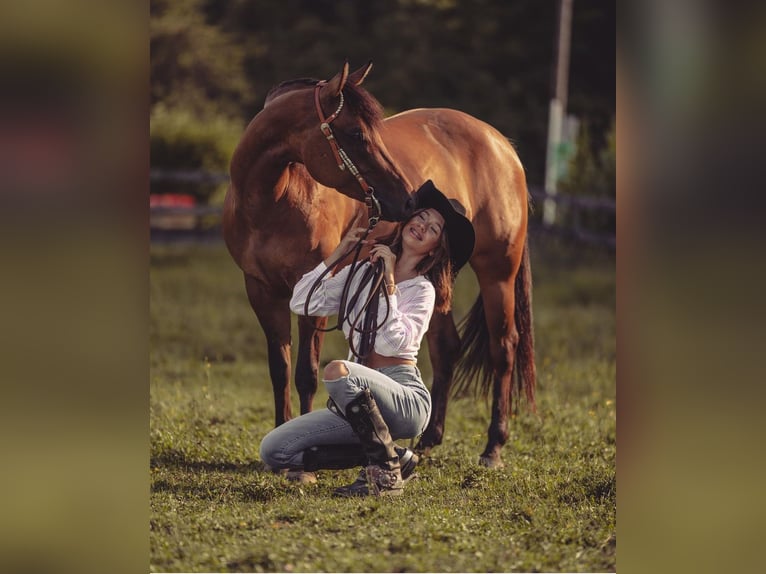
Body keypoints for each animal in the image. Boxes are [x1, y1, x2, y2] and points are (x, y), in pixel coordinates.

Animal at [225, 62, 536, 468]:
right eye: (356, 133)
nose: (409, 201)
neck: (276, 198)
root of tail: (502, 145)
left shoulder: (312, 294)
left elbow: (306, 373)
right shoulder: (261, 289)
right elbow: (280, 369)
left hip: (498, 271)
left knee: (504, 347)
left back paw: (493, 447)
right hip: (441, 277)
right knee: (446, 346)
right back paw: (429, 439)